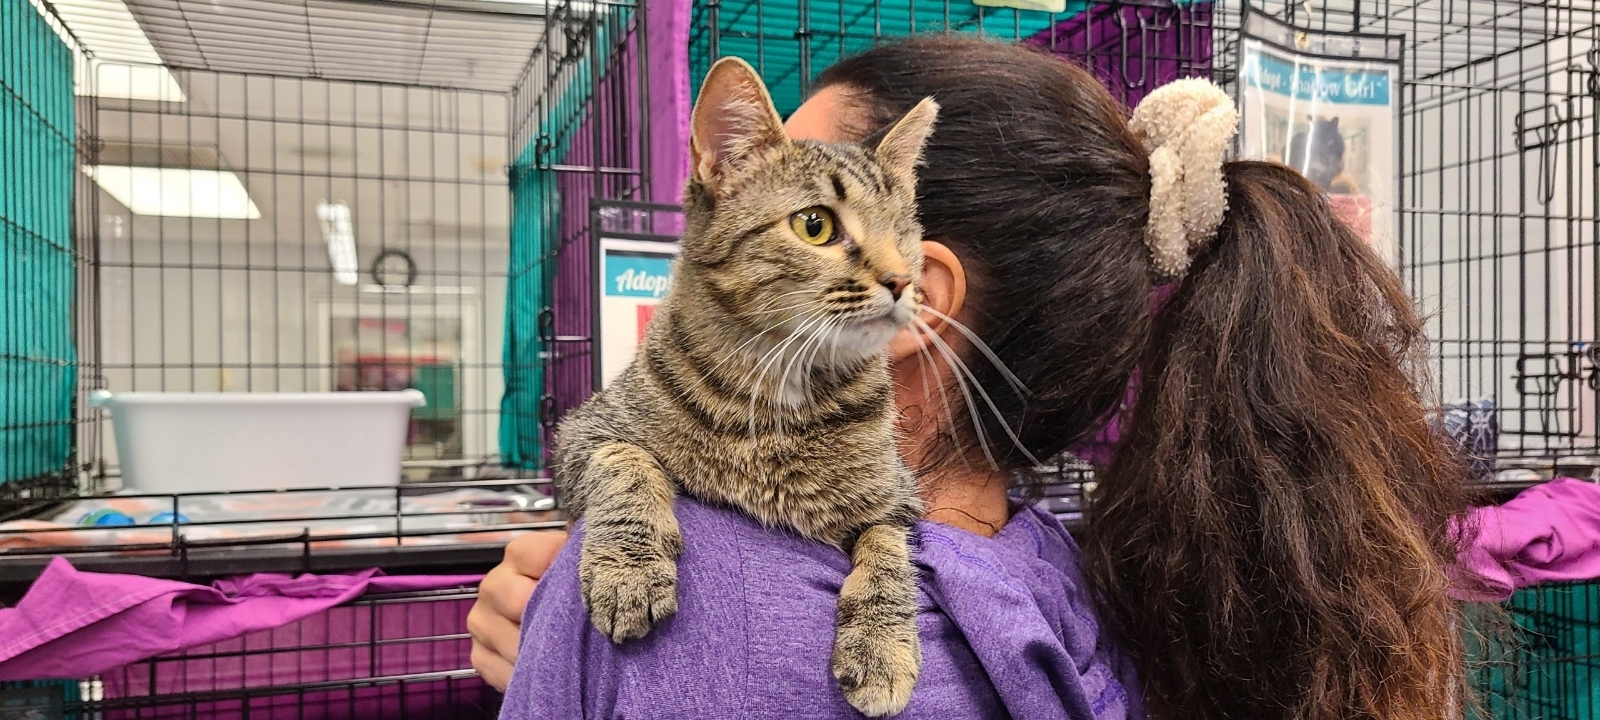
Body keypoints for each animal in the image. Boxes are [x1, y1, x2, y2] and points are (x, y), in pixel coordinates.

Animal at [553, 57, 934, 713]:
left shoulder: (900, 503)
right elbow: (625, 460)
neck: (780, 386)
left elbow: (888, 554)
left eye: (905, 233)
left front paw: (881, 647)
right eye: (815, 225)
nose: (902, 279)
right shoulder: (584, 430)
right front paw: (629, 567)